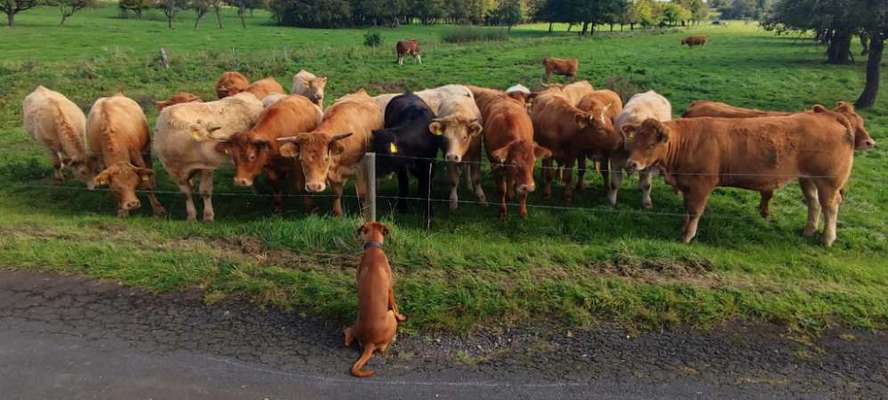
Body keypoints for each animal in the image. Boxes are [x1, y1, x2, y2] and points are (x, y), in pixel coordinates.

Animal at [153, 92, 264, 222]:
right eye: (220, 139)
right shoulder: (172, 171)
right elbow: (186, 193)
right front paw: (191, 216)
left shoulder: (206, 167)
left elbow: (205, 191)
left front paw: (208, 216)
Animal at [278, 89, 382, 217]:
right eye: (301, 159)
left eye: (326, 158)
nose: (314, 187)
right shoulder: (332, 173)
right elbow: (336, 193)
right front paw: (337, 214)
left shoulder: (361, 169)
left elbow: (362, 194)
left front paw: (364, 215)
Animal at [346, 220, 408, 376]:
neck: (373, 248)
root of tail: (369, 342)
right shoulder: (390, 288)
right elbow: (395, 306)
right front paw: (402, 316)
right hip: (390, 316)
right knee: (383, 346)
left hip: (356, 322)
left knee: (348, 335)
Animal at [468, 85, 552, 220]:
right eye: (514, 163)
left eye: (534, 161)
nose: (529, 186)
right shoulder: (495, 164)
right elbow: (501, 189)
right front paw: (502, 211)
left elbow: (521, 192)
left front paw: (523, 212)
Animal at [624, 106, 860, 245]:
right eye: (634, 140)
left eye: (651, 144)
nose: (631, 164)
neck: (687, 142)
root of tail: (830, 116)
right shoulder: (687, 184)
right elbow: (686, 209)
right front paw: (683, 227)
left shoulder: (702, 185)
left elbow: (694, 211)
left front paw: (687, 236)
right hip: (808, 179)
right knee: (814, 203)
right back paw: (809, 230)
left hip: (829, 182)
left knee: (830, 206)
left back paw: (827, 238)